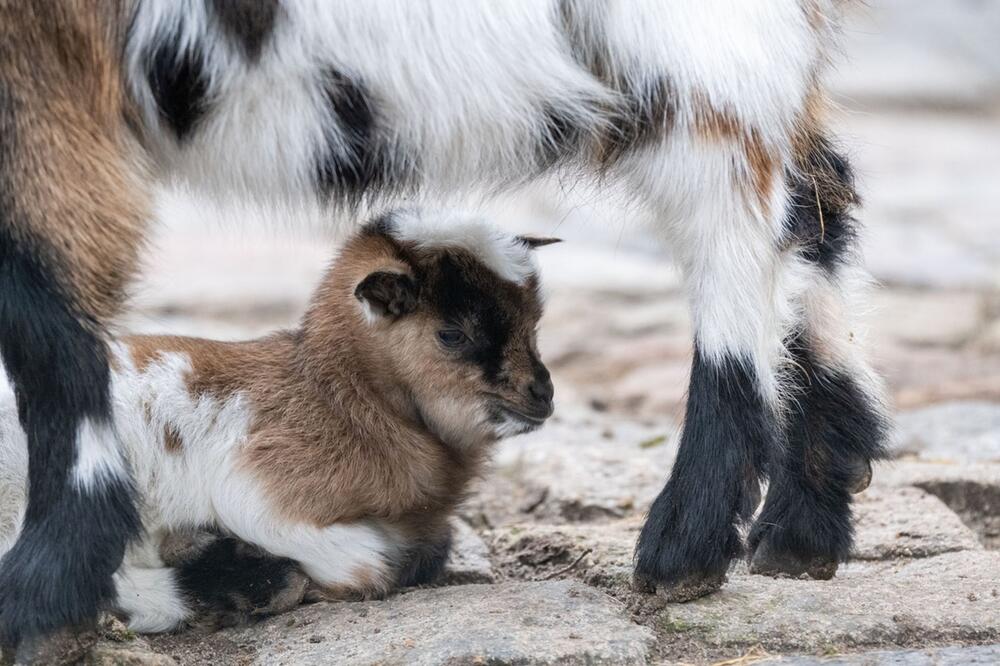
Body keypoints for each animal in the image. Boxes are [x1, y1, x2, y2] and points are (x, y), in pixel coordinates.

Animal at [0, 210, 556, 632]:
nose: (543, 393)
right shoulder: (257, 489)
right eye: (452, 334)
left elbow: (434, 546)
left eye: (533, 322)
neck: (336, 395)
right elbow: (373, 563)